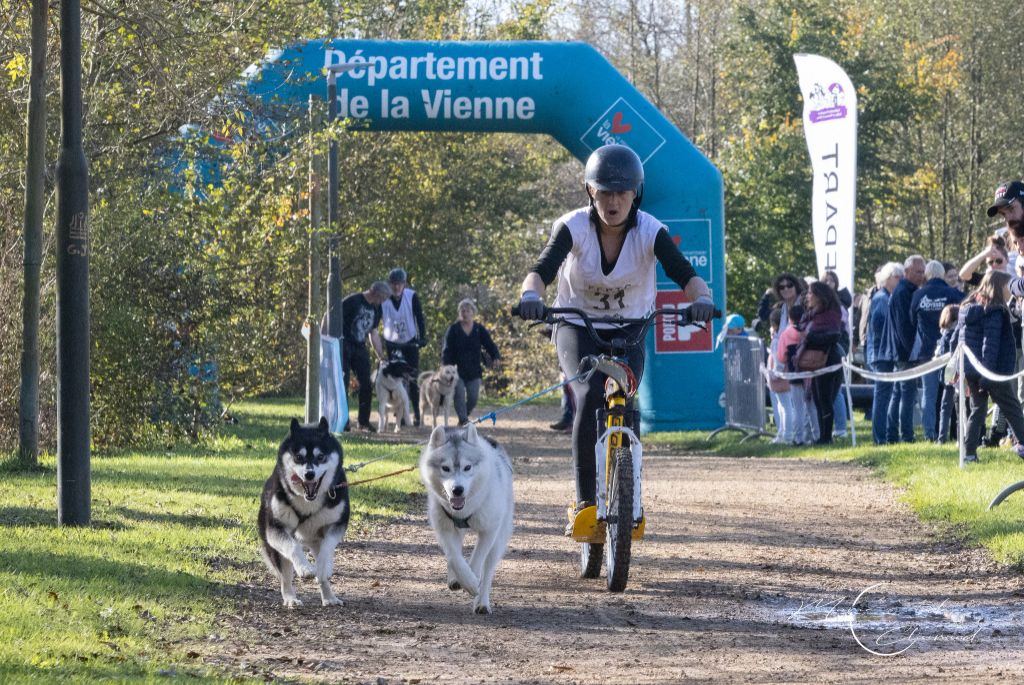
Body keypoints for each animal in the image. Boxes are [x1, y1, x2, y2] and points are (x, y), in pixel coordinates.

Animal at [258, 413, 350, 606]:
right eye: (298, 457)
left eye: (320, 456)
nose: (309, 474)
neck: (308, 502)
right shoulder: (275, 528)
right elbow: (293, 548)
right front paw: (305, 568)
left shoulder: (337, 523)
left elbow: (328, 546)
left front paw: (323, 567)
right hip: (275, 545)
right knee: (285, 575)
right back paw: (291, 598)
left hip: (314, 539)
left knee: (321, 563)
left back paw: (329, 596)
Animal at [417, 421, 512, 614]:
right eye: (445, 468)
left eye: (467, 467)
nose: (457, 490)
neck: (463, 510)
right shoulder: (443, 527)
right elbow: (453, 556)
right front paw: (462, 578)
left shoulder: (490, 529)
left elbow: (478, 557)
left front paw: (472, 581)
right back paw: (455, 578)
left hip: (499, 538)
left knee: (488, 567)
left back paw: (482, 602)